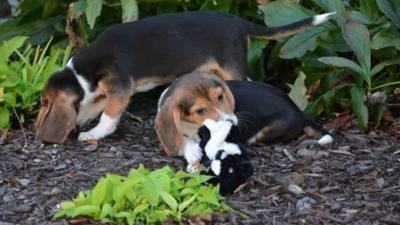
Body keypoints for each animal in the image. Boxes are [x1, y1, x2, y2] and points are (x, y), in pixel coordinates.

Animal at [36, 11, 334, 144]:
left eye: (43, 103)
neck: (80, 74)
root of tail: (238, 21)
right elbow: (95, 104)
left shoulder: (120, 88)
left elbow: (108, 116)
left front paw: (93, 133)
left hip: (231, 68)